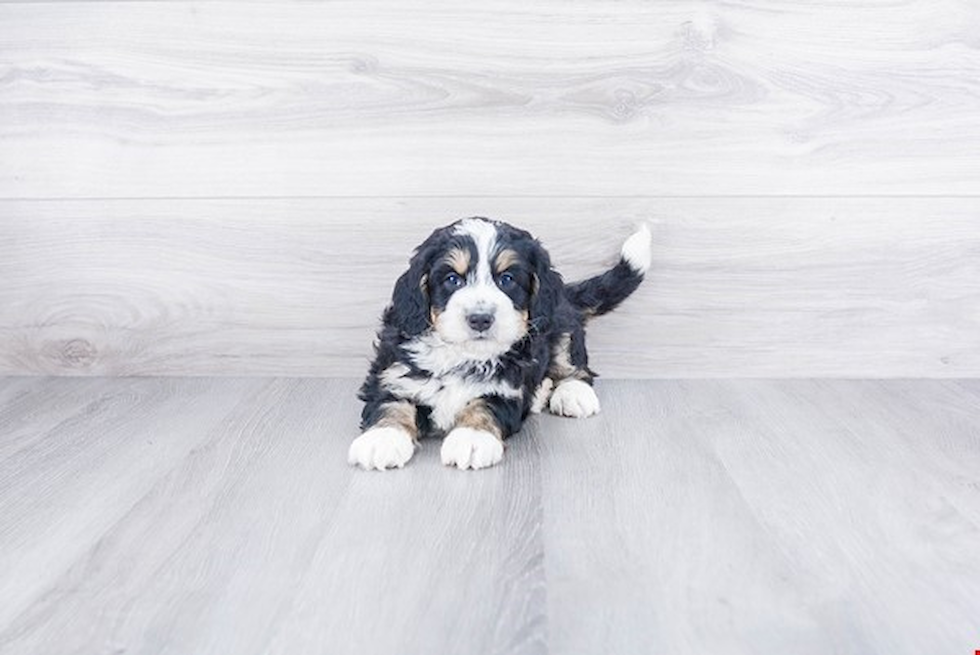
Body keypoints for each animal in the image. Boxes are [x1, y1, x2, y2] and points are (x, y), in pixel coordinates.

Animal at [352, 219, 652, 472]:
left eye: (507, 279)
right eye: (452, 280)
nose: (480, 318)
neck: (464, 356)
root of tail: (566, 294)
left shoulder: (508, 389)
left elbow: (484, 406)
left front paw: (472, 438)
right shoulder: (393, 372)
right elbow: (390, 402)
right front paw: (382, 438)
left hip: (560, 323)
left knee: (575, 365)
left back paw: (572, 394)